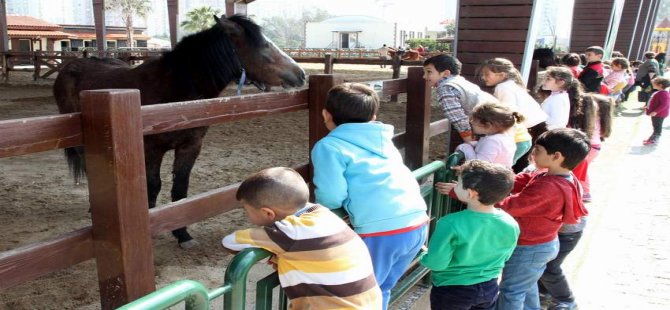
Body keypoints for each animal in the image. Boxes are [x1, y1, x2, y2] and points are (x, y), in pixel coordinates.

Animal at [55, 14, 308, 248]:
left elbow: (180, 190)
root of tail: (70, 66)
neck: (175, 93)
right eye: (264, 45)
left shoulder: (190, 147)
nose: (301, 74)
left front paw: (182, 235)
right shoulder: (152, 150)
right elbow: (153, 187)